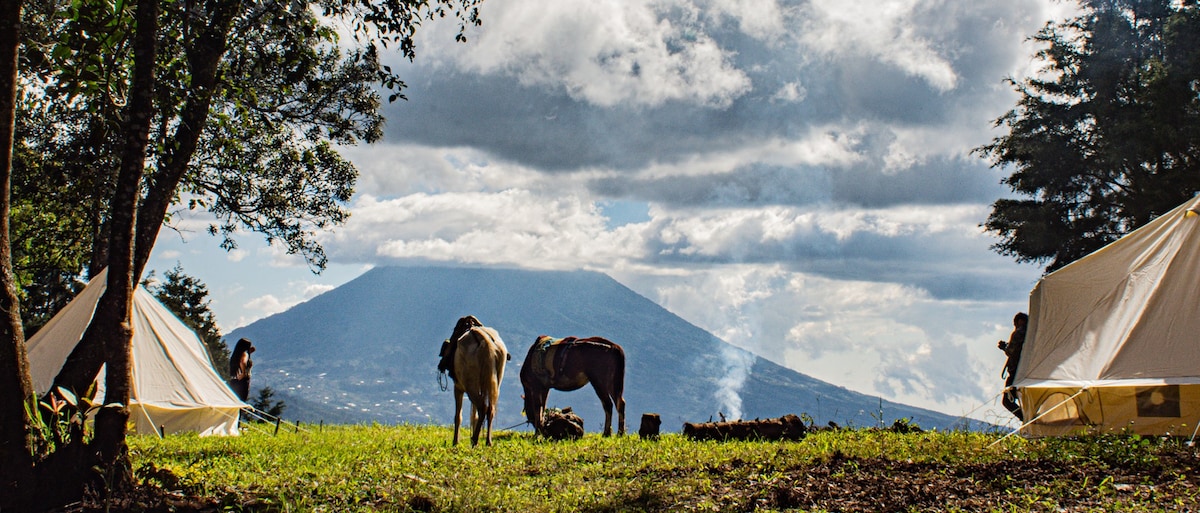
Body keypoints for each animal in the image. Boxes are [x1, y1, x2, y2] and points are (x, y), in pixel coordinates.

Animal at [448, 314, 508, 445]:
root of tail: (484, 340)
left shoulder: (458, 387)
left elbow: (458, 416)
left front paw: (455, 442)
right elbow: (473, 415)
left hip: (470, 385)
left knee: (482, 407)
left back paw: (474, 440)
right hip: (495, 380)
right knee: (490, 409)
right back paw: (488, 441)